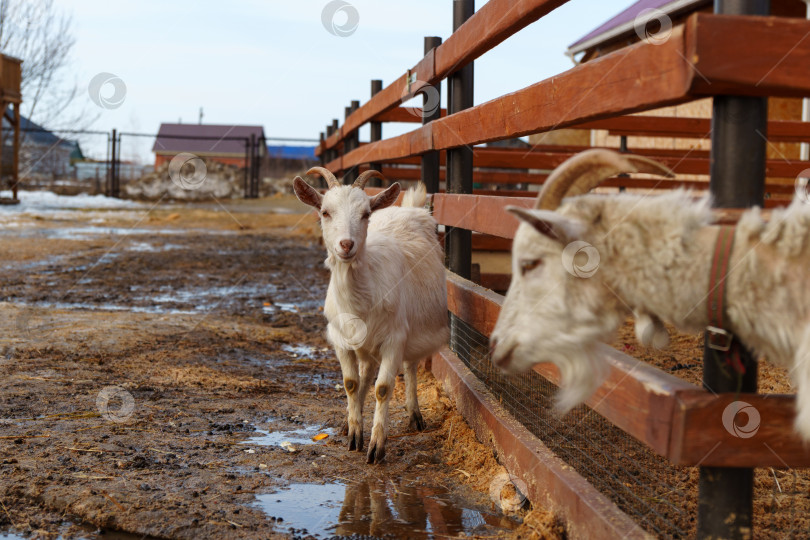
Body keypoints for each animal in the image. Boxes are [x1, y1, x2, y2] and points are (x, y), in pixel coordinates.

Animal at [292, 170, 448, 464]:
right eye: (325, 212)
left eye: (365, 214)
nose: (346, 244)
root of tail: (408, 207)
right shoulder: (341, 338)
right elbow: (351, 383)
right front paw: (354, 433)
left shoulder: (394, 339)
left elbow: (383, 388)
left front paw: (376, 446)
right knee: (365, 371)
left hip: (411, 329)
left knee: (410, 366)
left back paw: (415, 415)